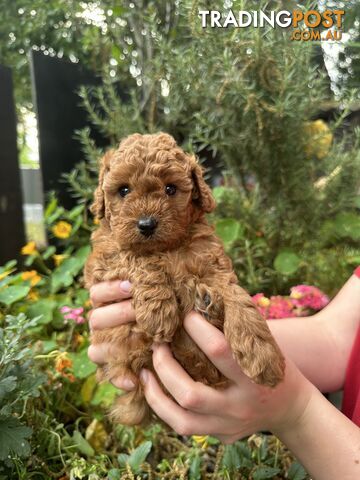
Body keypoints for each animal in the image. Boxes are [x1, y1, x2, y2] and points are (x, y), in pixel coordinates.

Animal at [84, 131, 284, 424]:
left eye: (170, 189)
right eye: (123, 190)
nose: (146, 225)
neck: (168, 248)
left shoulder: (215, 266)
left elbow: (239, 298)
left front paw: (263, 354)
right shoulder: (105, 260)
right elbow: (137, 257)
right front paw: (158, 312)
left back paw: (208, 305)